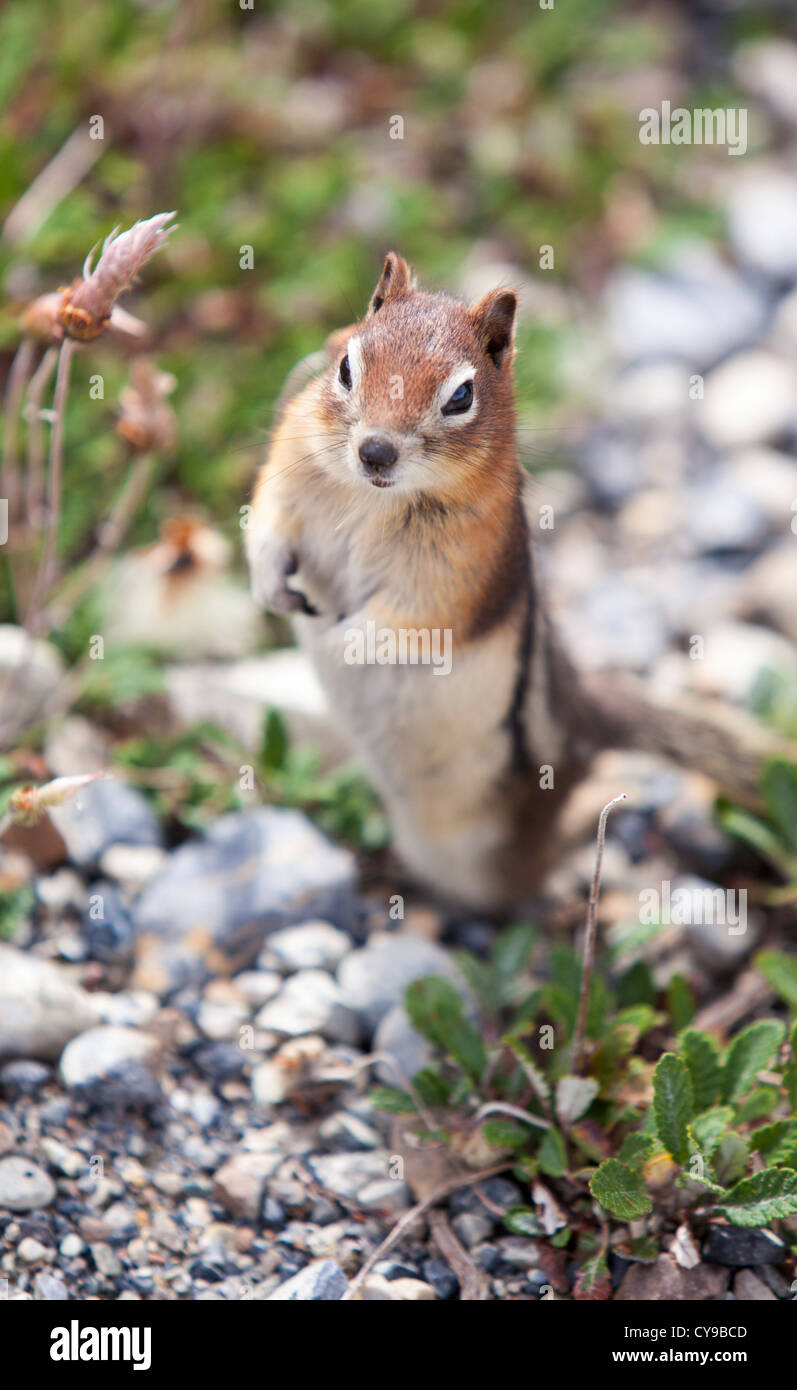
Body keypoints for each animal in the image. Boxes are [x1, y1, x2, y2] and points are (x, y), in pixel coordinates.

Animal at [247, 255, 784, 911]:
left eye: (461, 396)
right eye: (346, 367)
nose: (374, 451)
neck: (374, 498)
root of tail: (585, 718)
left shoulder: (457, 575)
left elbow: (405, 621)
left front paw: (334, 641)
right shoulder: (293, 453)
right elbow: (268, 521)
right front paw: (271, 586)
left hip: (497, 849)